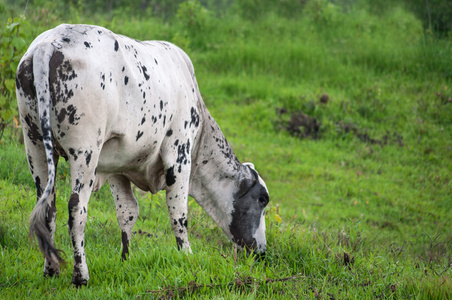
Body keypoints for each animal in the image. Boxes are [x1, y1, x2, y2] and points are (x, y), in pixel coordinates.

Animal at [15, 24, 268, 288]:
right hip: (84, 150)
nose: (261, 252)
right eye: (263, 199)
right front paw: (186, 255)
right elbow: (178, 212)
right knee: (76, 210)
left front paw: (125, 258)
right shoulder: (179, 154)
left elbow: (127, 212)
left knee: (47, 208)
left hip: (34, 143)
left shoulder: (116, 169)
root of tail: (49, 44)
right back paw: (80, 275)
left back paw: (51, 269)